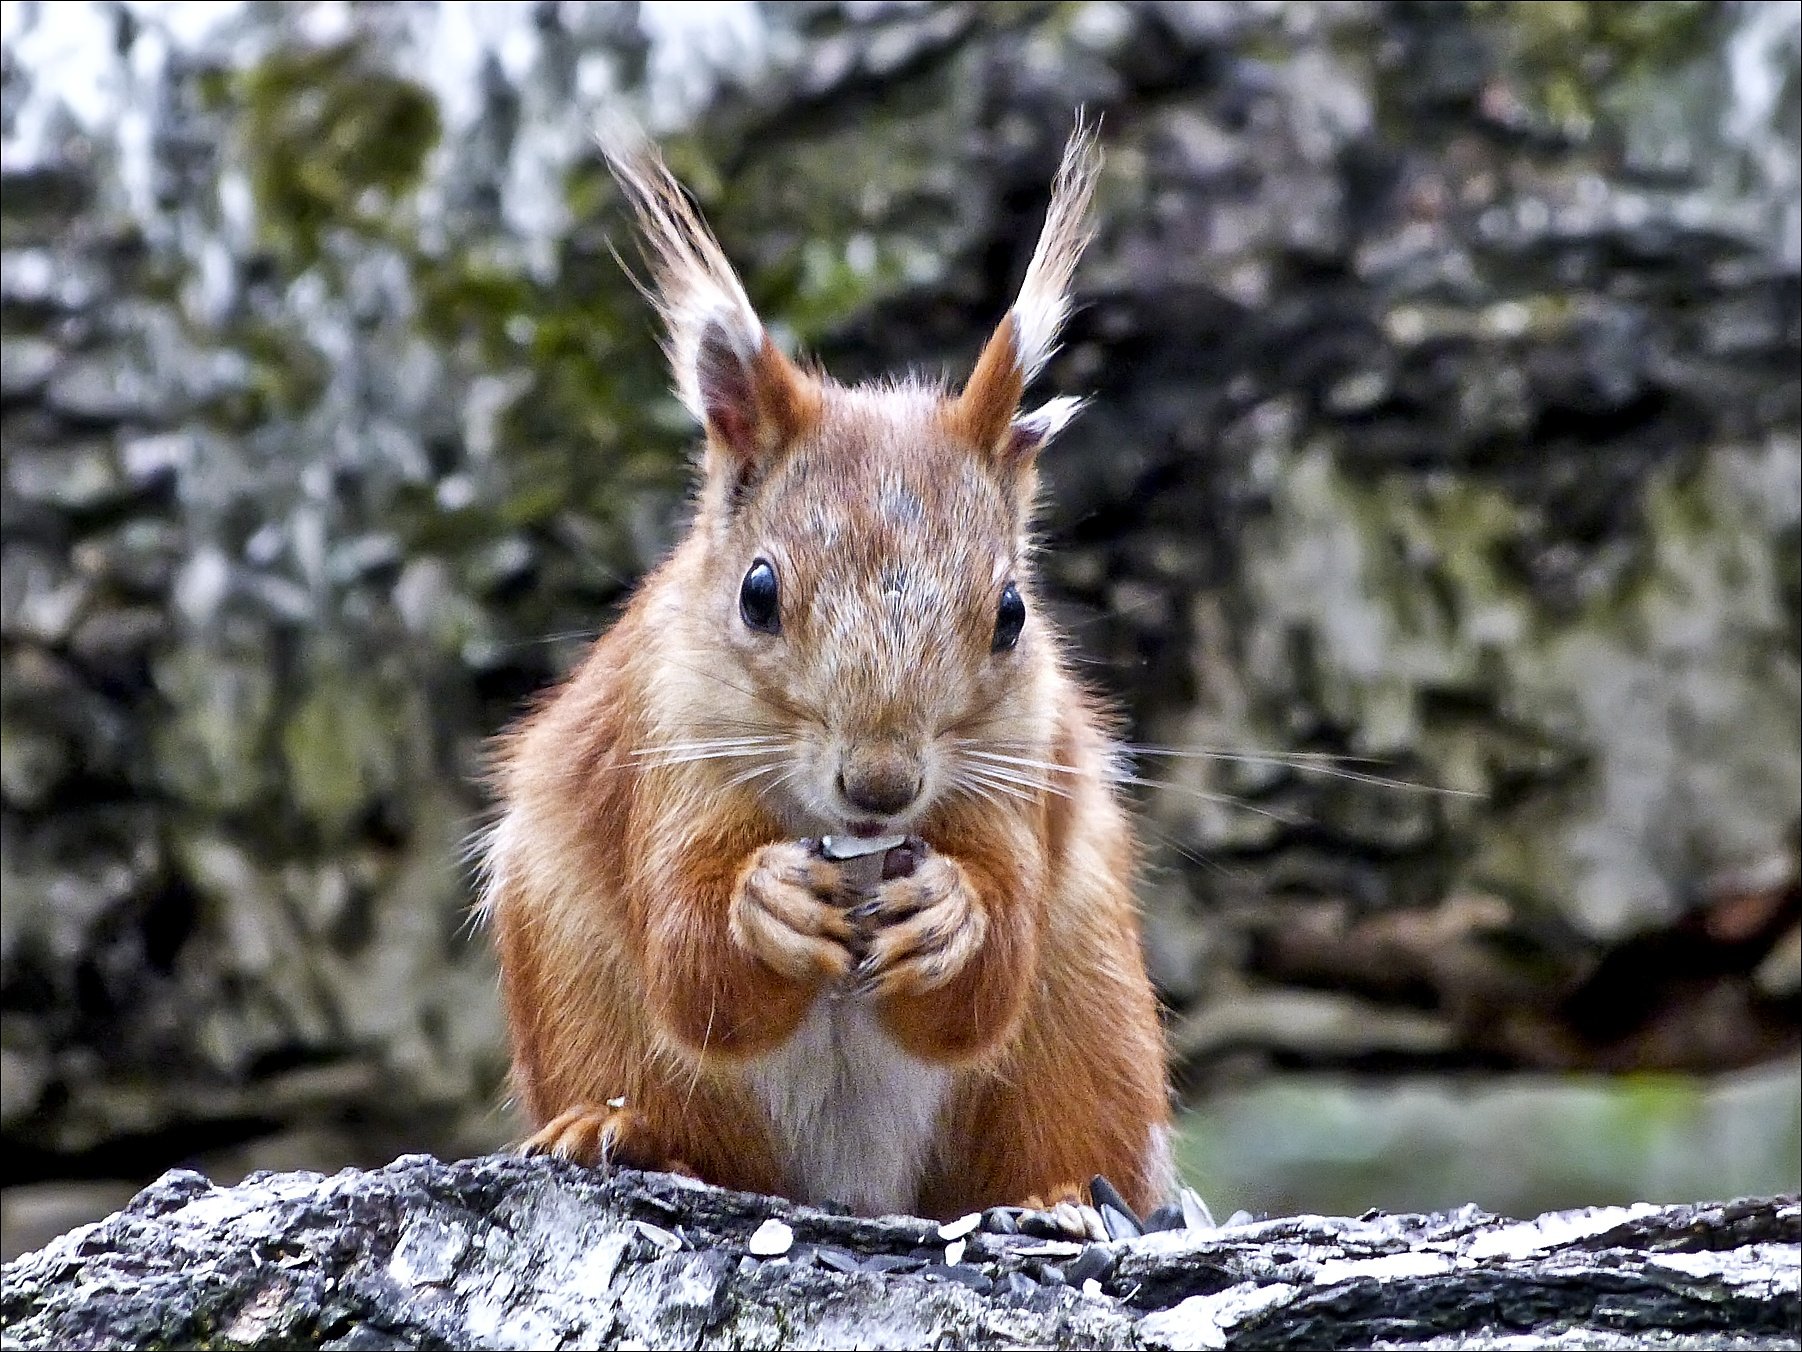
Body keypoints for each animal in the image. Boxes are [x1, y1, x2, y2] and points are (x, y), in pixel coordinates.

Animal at [486, 121, 1174, 1225]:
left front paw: (953, 916)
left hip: (1089, 1007)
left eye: (1011, 614)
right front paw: (761, 906)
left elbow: (988, 974)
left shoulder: (1019, 767)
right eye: (756, 593)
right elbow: (692, 960)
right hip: (576, 990)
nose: (881, 787)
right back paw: (619, 1134)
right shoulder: (664, 742)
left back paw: (1068, 1193)